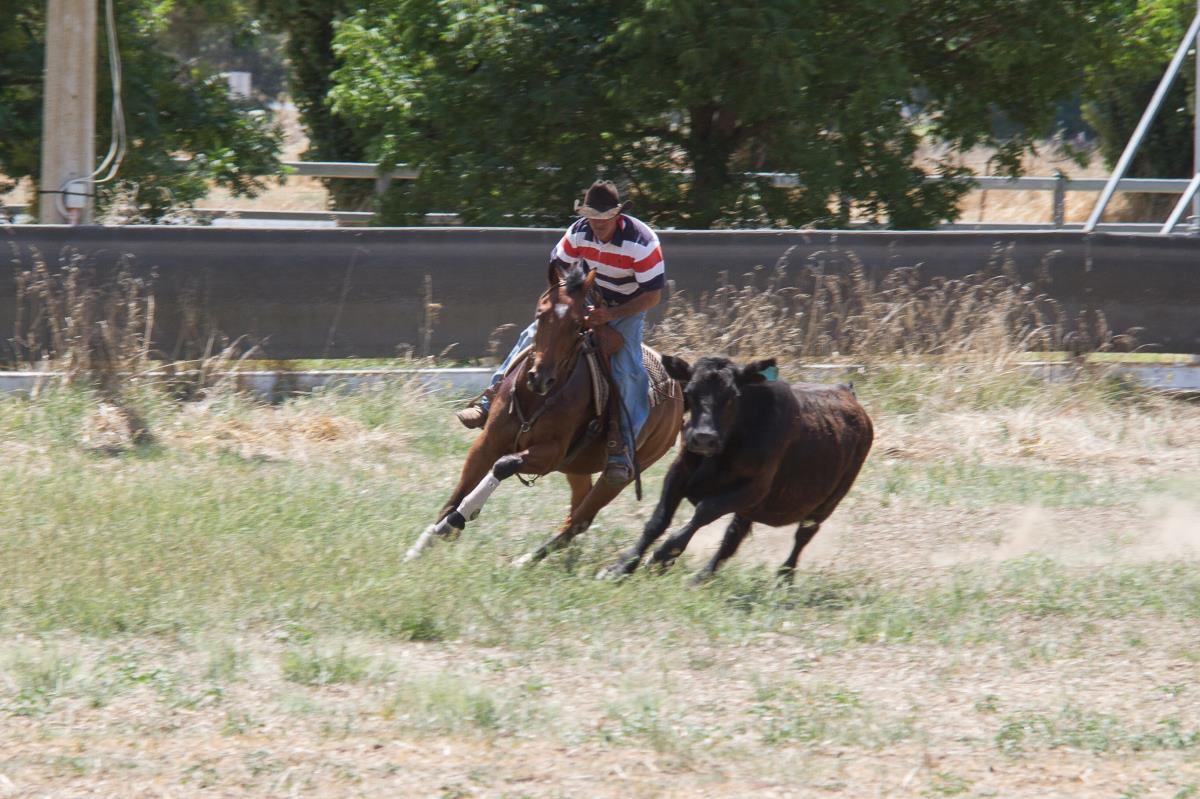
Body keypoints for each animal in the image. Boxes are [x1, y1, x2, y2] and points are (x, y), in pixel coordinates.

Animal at [404, 260, 684, 564]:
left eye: (578, 323)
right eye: (540, 314)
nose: (540, 378)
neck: (536, 399)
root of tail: (679, 391)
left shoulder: (550, 455)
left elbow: (502, 465)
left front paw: (456, 520)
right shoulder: (488, 441)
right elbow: (460, 489)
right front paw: (426, 541)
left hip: (623, 474)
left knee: (580, 519)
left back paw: (525, 561)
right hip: (576, 468)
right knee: (577, 507)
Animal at [601, 355, 873, 583]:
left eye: (732, 396)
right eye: (689, 391)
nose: (703, 438)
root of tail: (845, 391)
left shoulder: (753, 488)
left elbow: (703, 511)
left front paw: (663, 555)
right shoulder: (679, 472)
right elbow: (658, 520)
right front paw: (621, 567)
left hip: (826, 503)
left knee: (802, 536)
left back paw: (784, 579)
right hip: (752, 509)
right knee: (733, 537)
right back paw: (702, 578)